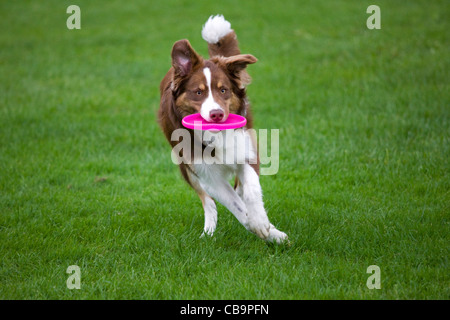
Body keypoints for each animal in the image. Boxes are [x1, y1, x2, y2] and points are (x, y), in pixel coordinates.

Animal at [156, 14, 286, 242]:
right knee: (207, 200)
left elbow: (251, 190)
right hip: (185, 168)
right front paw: (263, 228)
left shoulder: (246, 150)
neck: (215, 137)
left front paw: (266, 226)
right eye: (198, 92)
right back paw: (208, 230)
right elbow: (236, 207)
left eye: (223, 90)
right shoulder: (205, 173)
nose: (216, 114)